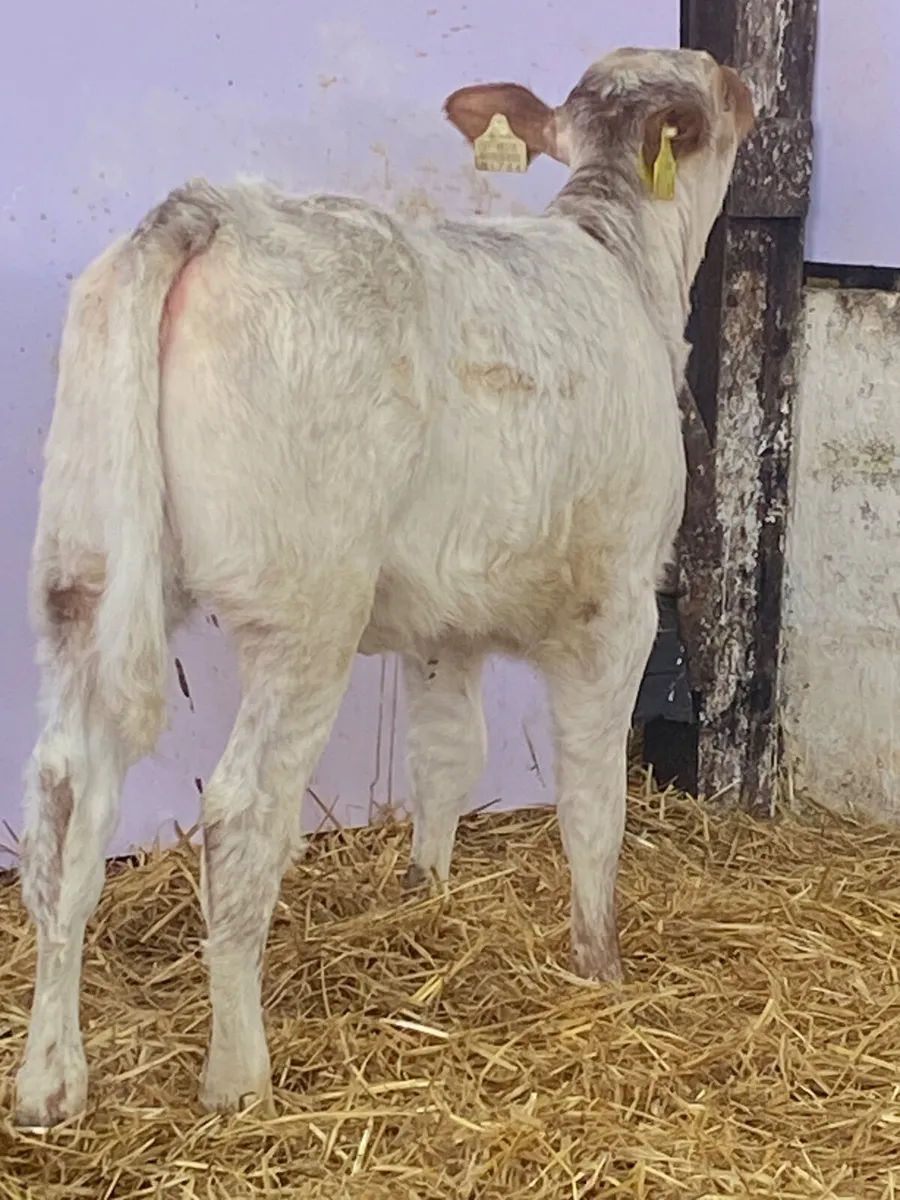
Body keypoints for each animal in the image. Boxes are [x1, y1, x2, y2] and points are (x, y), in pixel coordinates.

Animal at [13, 46, 753, 1126]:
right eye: (726, 89)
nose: (752, 94)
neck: (618, 253)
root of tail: (215, 208)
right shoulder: (616, 601)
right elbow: (593, 793)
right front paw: (600, 962)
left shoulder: (444, 620)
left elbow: (444, 759)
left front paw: (425, 895)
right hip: (304, 610)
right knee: (239, 810)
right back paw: (237, 1077)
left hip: (85, 570)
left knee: (66, 797)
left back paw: (48, 1077)